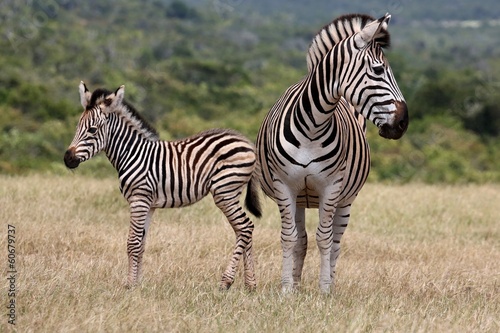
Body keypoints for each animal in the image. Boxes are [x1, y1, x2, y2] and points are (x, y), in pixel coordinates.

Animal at [63, 81, 262, 290]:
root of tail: (246, 142)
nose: (67, 159)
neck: (132, 153)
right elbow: (141, 244)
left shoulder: (139, 199)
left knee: (245, 227)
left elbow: (132, 242)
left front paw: (129, 285)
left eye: (92, 130)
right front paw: (138, 283)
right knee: (243, 230)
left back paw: (226, 281)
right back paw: (250, 284)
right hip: (230, 192)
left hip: (225, 191)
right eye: (77, 127)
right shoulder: (148, 204)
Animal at [258, 14, 410, 292]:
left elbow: (325, 239)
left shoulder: (331, 187)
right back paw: (297, 284)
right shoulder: (284, 185)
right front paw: (287, 288)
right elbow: (290, 238)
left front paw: (325, 288)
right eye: (378, 70)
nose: (403, 123)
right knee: (301, 238)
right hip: (300, 197)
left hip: (345, 200)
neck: (312, 125)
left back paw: (331, 282)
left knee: (336, 241)